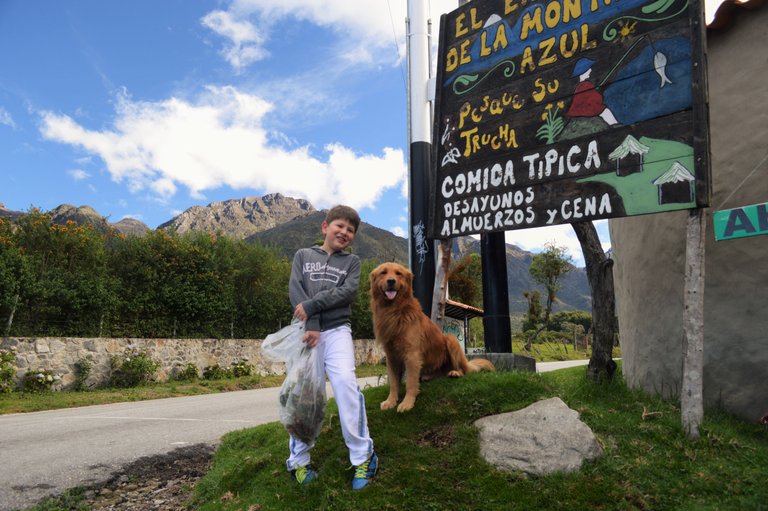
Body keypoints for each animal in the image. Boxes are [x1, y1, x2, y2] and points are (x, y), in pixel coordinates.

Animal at [368, 262, 496, 414]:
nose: (391, 281)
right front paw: (390, 401)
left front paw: (407, 403)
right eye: (383, 273)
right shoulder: (391, 356)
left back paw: (455, 372)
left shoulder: (412, 355)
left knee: (463, 371)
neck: (394, 311)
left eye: (398, 273)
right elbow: (393, 383)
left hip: (451, 339)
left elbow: (410, 382)